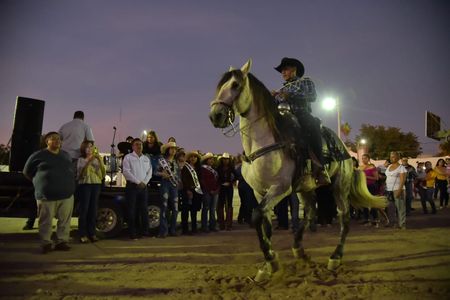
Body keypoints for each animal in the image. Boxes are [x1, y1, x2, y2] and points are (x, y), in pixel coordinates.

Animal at [207, 59, 386, 282]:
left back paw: (335, 257)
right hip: (305, 188)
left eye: (235, 85)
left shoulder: (280, 188)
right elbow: (265, 225)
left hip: (339, 186)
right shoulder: (260, 192)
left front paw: (271, 261)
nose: (215, 115)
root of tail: (344, 148)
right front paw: (267, 265)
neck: (264, 143)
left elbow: (256, 216)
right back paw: (299, 250)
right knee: (310, 211)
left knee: (343, 217)